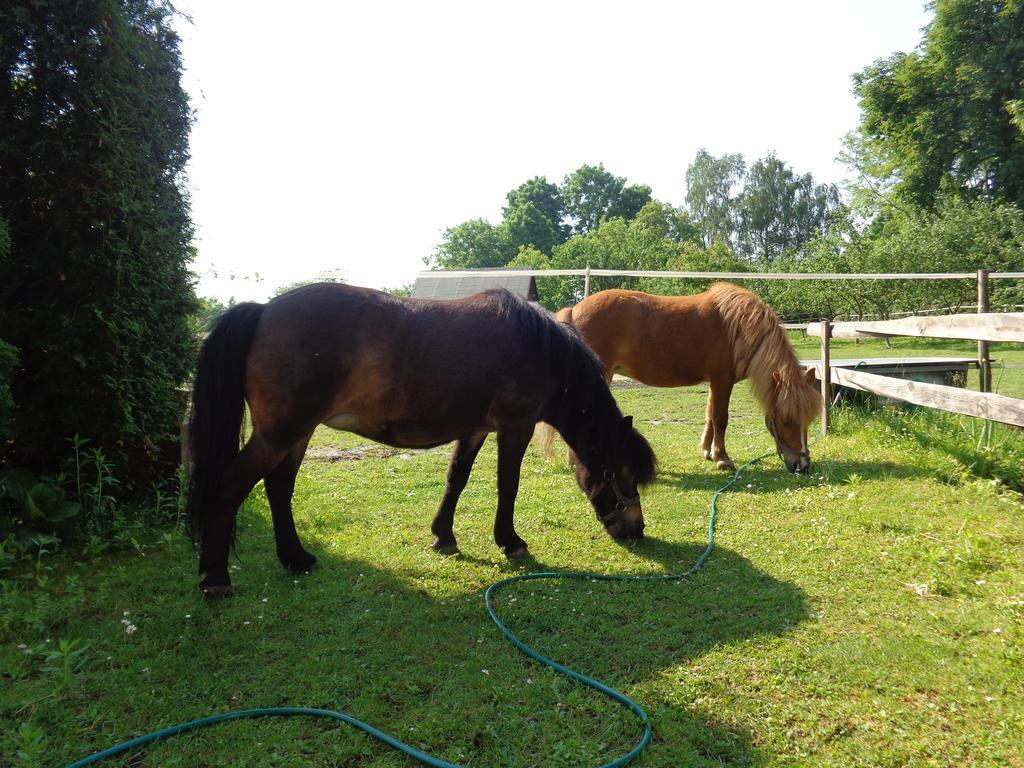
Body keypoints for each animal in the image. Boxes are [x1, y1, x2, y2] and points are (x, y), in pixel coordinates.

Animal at [188, 286, 655, 598]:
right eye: (622, 472)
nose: (636, 529)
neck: (538, 346)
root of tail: (264, 310)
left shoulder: (474, 429)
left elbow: (456, 480)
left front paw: (443, 536)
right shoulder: (515, 426)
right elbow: (508, 485)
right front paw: (511, 542)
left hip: (297, 434)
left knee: (279, 487)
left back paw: (296, 558)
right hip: (280, 433)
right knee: (232, 485)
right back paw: (215, 577)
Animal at [557, 284, 819, 475]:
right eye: (786, 420)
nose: (803, 467)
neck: (739, 327)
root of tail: (575, 310)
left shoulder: (715, 382)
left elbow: (710, 417)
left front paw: (709, 452)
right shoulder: (722, 380)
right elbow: (720, 419)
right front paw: (722, 459)